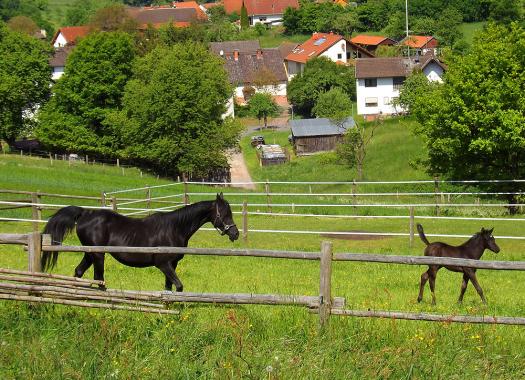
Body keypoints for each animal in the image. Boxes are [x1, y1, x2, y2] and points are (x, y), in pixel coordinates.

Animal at [43, 193, 239, 290]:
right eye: (224, 213)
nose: (235, 234)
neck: (174, 228)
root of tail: (85, 212)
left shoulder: (172, 265)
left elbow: (168, 288)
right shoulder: (163, 264)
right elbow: (179, 286)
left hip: (90, 254)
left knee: (79, 272)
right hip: (98, 255)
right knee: (99, 279)